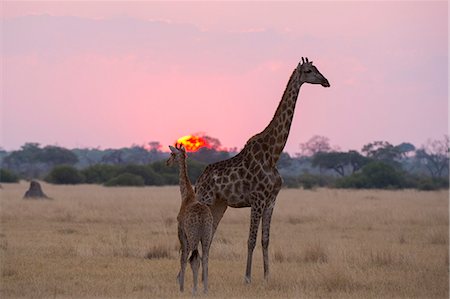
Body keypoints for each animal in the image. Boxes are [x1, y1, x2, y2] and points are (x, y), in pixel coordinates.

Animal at [166, 144, 214, 294]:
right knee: (205, 258)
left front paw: (181, 288)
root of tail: (203, 219)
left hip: (193, 236)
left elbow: (183, 258)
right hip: (206, 236)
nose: (167, 162)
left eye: (172, 154)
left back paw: (193, 289)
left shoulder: (181, 231)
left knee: (194, 258)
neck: (186, 196)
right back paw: (205, 290)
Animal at [195, 56, 328, 284]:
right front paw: (247, 277)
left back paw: (205, 277)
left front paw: (267, 276)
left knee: (208, 236)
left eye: (317, 69)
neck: (273, 153)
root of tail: (199, 180)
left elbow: (265, 239)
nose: (326, 81)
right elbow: (251, 240)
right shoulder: (257, 200)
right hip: (206, 201)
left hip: (219, 205)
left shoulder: (271, 201)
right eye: (309, 71)